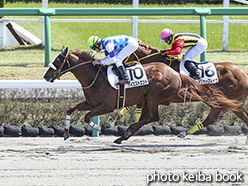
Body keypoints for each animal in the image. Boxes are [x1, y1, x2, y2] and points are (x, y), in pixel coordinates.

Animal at [43, 46, 241, 144]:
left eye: (58, 59)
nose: (46, 76)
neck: (95, 77)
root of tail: (176, 74)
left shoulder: (106, 106)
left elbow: (86, 117)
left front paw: (104, 126)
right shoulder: (91, 103)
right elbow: (71, 109)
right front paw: (66, 133)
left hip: (154, 95)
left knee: (153, 116)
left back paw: (125, 134)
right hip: (149, 98)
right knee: (148, 117)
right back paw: (124, 135)